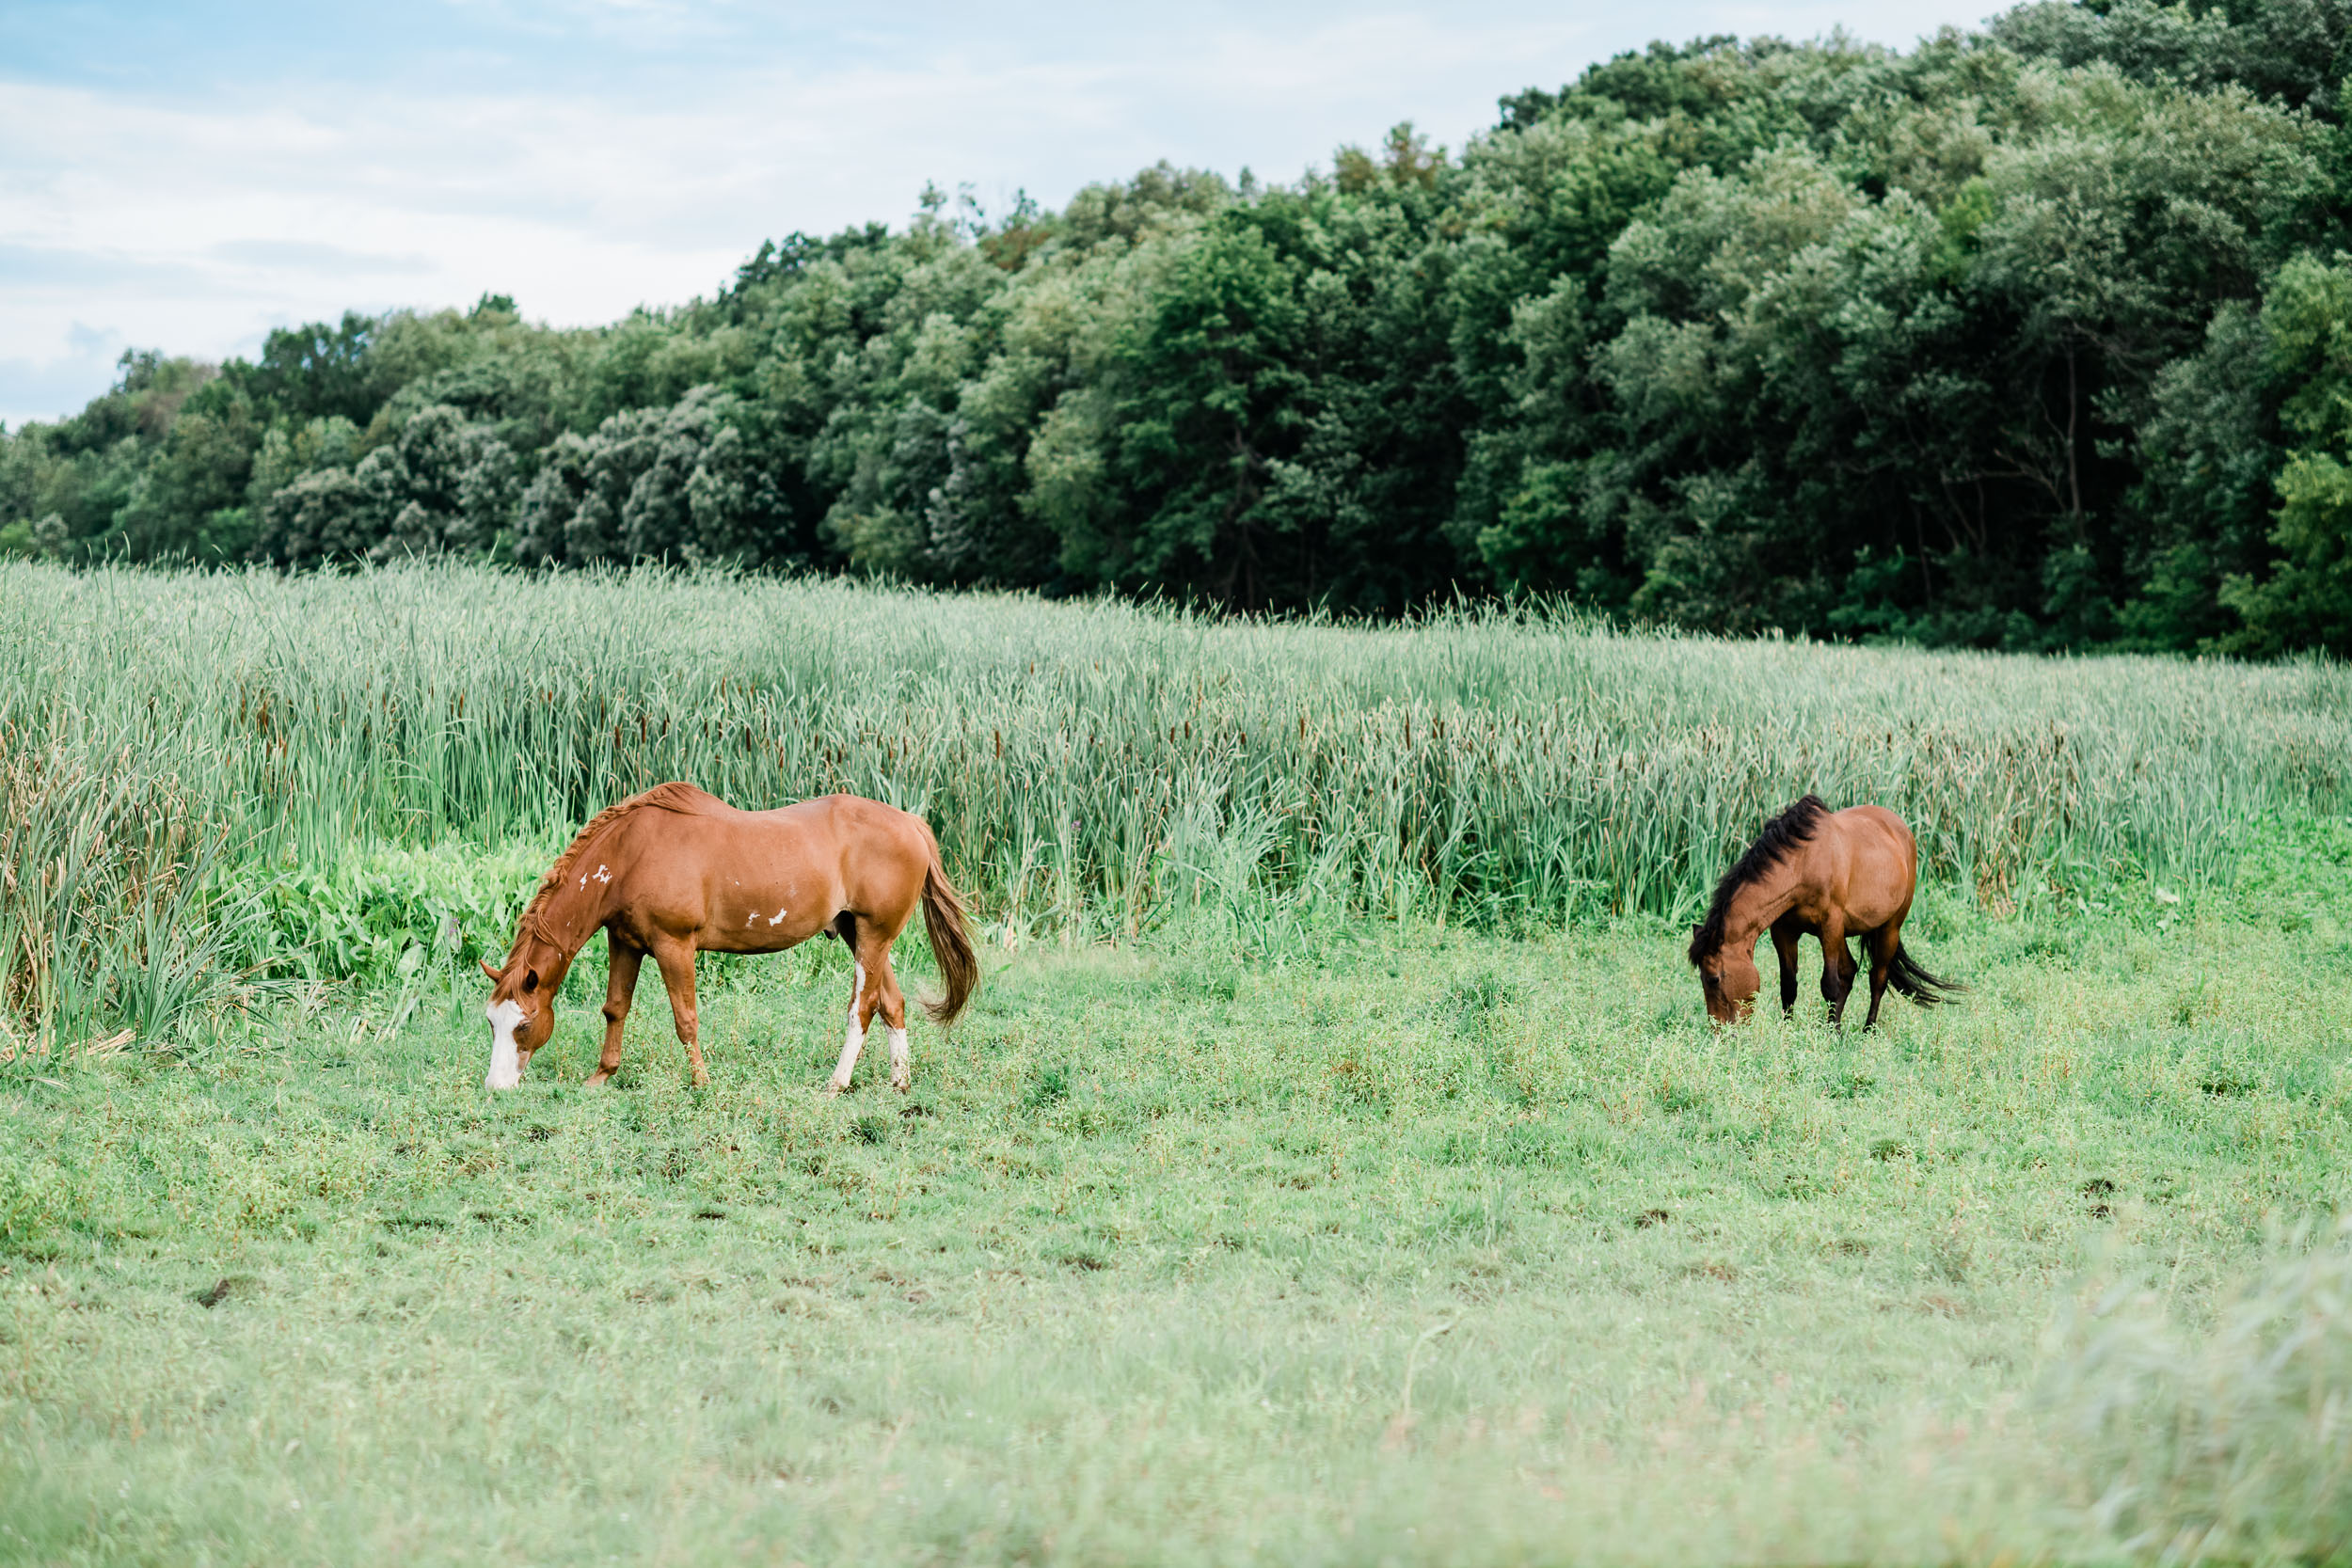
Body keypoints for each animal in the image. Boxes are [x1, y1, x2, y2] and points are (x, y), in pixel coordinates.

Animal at [482, 780, 978, 1090]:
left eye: (523, 1024)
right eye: (491, 1022)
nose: (496, 1086)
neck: (630, 854)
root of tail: (911, 823)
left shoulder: (674, 945)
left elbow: (685, 1019)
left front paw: (701, 1083)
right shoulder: (625, 942)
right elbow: (615, 1009)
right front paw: (603, 1076)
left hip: (873, 936)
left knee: (863, 1007)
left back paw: (837, 1083)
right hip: (861, 935)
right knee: (892, 1004)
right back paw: (900, 1082)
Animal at [1684, 799, 1957, 1029]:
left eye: (1713, 979)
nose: (1720, 1031)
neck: (1802, 864)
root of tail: (1902, 830)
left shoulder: (1830, 926)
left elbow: (1830, 984)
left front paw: (1832, 1036)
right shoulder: (1784, 931)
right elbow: (1789, 985)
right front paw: (1789, 1030)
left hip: (1889, 927)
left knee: (1877, 977)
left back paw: (1867, 1030)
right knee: (1850, 970)